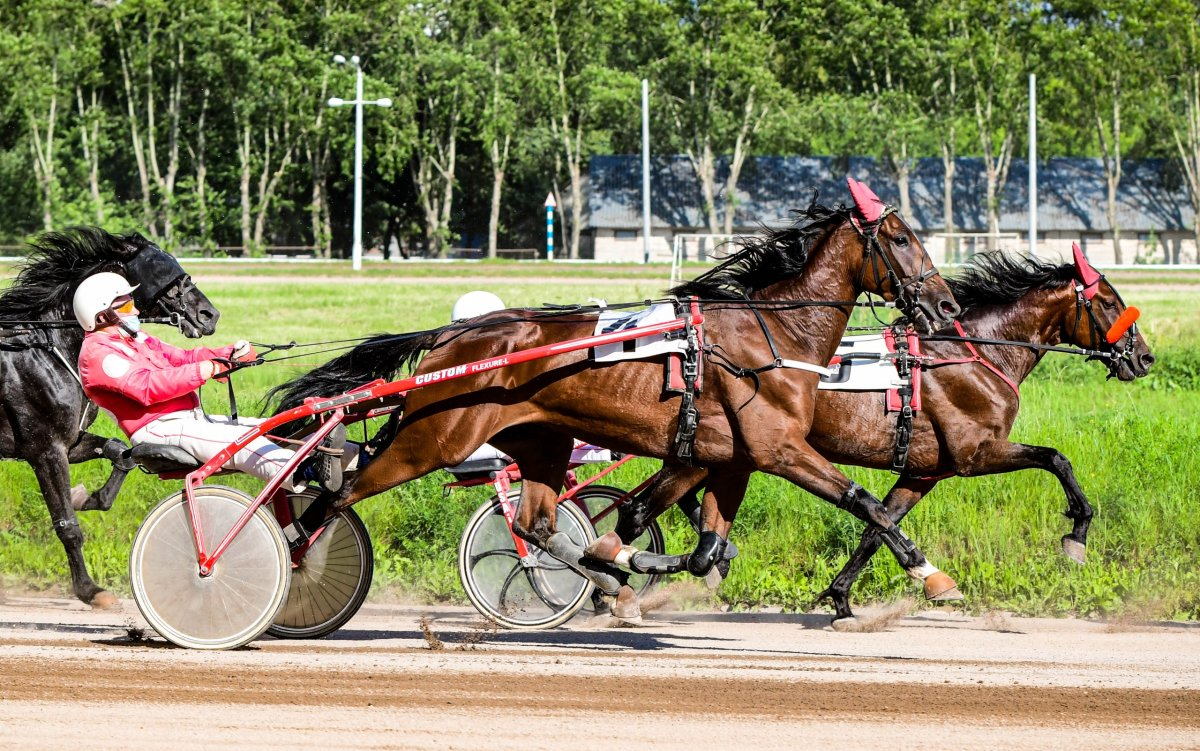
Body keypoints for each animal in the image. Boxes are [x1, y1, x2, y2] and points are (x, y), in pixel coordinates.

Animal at [0, 229, 218, 609]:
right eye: (170, 278)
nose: (209, 314)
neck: (45, 347)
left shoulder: (70, 442)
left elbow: (118, 451)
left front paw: (88, 497)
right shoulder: (45, 450)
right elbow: (67, 526)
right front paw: (91, 591)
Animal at [276, 179, 960, 614]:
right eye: (902, 240)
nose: (947, 306)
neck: (770, 336)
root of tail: (455, 336)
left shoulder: (726, 455)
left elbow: (701, 543)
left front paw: (629, 562)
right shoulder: (778, 449)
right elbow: (868, 503)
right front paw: (932, 577)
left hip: (540, 441)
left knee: (535, 523)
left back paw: (611, 581)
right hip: (432, 439)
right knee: (338, 495)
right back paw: (290, 560)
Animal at [609, 245, 1152, 619]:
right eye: (1109, 302)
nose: (1145, 357)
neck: (974, 354)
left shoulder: (924, 472)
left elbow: (877, 527)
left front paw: (841, 597)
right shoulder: (974, 454)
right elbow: (1056, 457)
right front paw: (1077, 535)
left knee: (650, 506)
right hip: (718, 450)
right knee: (637, 510)